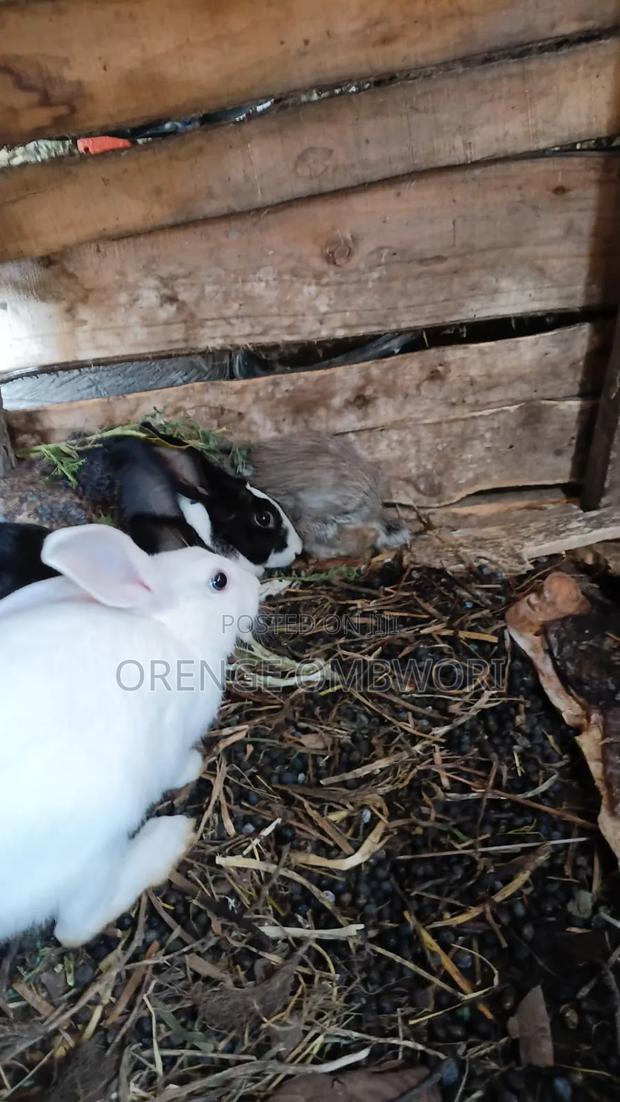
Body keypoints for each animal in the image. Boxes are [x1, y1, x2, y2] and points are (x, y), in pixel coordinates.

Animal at [0, 522, 259, 946]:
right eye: (219, 580)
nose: (256, 585)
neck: (171, 628)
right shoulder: (172, 734)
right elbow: (175, 766)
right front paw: (193, 766)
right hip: (93, 843)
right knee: (74, 926)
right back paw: (167, 838)